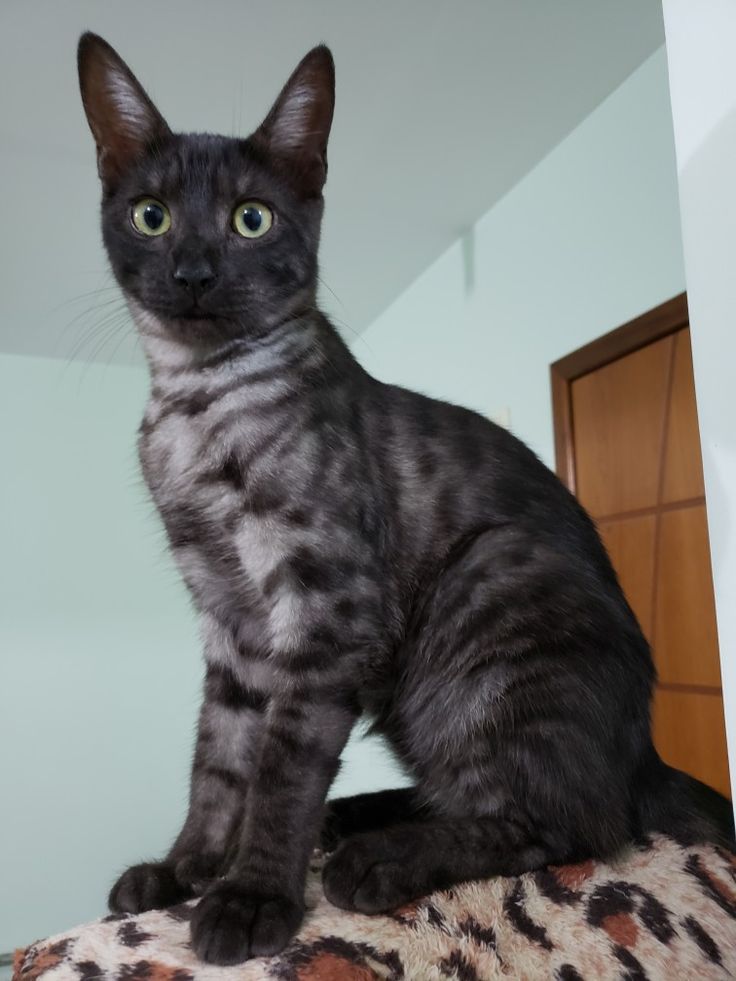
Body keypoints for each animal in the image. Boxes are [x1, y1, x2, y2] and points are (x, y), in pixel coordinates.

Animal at [77, 32, 732, 964]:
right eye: (152, 216)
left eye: (251, 219)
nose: (194, 271)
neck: (197, 406)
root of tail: (642, 753)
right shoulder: (230, 624)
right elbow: (220, 760)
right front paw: (185, 868)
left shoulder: (327, 611)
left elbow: (280, 769)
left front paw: (251, 895)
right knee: (479, 790)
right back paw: (354, 818)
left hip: (489, 589)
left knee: (563, 820)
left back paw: (379, 856)